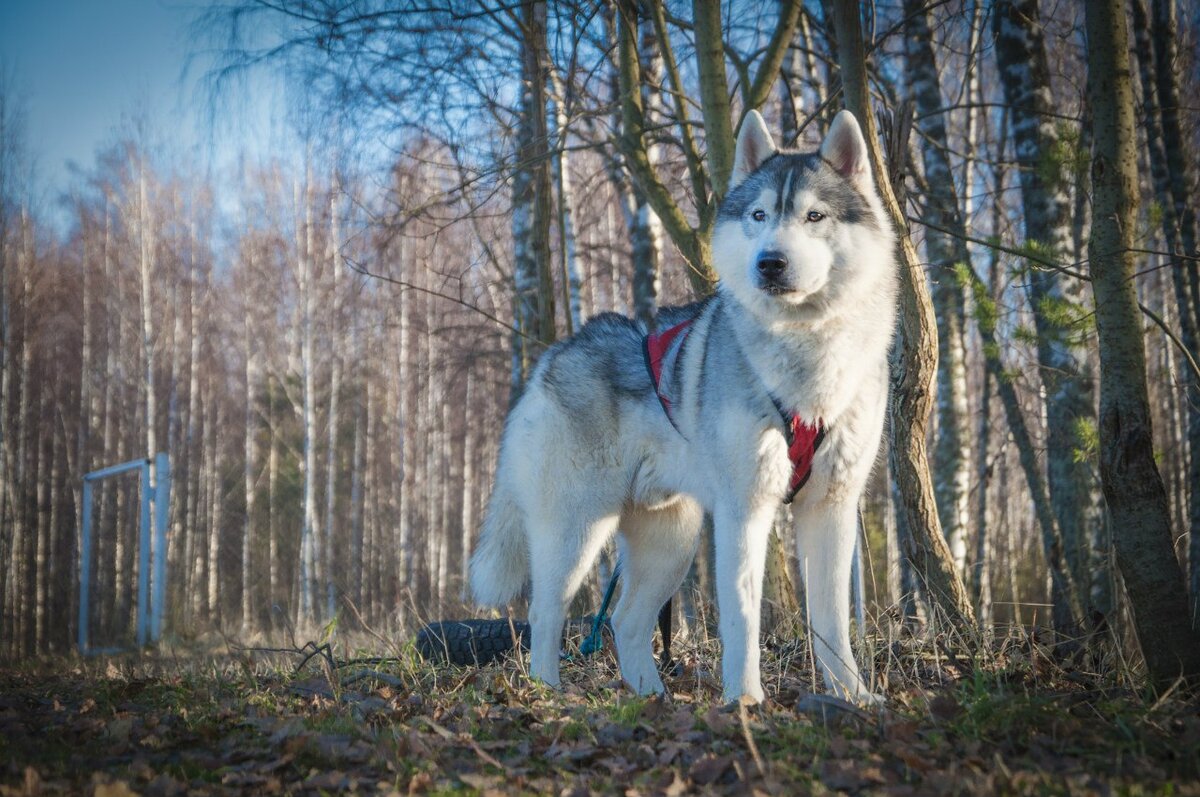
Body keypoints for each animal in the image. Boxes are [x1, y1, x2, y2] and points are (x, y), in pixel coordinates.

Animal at [472, 107, 897, 705]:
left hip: (669, 543)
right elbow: (742, 615)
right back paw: (550, 694)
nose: (770, 263)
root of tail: (553, 356)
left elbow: (833, 621)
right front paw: (745, 701)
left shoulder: (832, 508)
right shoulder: (745, 509)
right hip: (575, 534)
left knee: (626, 621)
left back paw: (653, 697)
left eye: (814, 215)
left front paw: (852, 696)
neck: (807, 358)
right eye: (760, 215)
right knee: (545, 614)